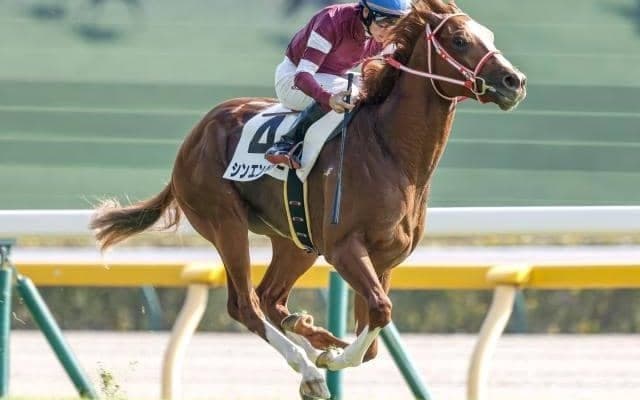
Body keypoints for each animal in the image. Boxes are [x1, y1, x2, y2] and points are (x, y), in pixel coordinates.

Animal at [91, 1, 526, 398]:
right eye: (459, 39)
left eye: (489, 36)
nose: (514, 81)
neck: (391, 153)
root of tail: (194, 136)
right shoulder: (344, 247)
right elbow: (380, 311)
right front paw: (331, 359)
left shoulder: (385, 259)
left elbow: (374, 329)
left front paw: (327, 347)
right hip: (225, 222)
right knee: (246, 304)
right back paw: (310, 367)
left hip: (296, 241)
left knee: (270, 298)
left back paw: (304, 334)